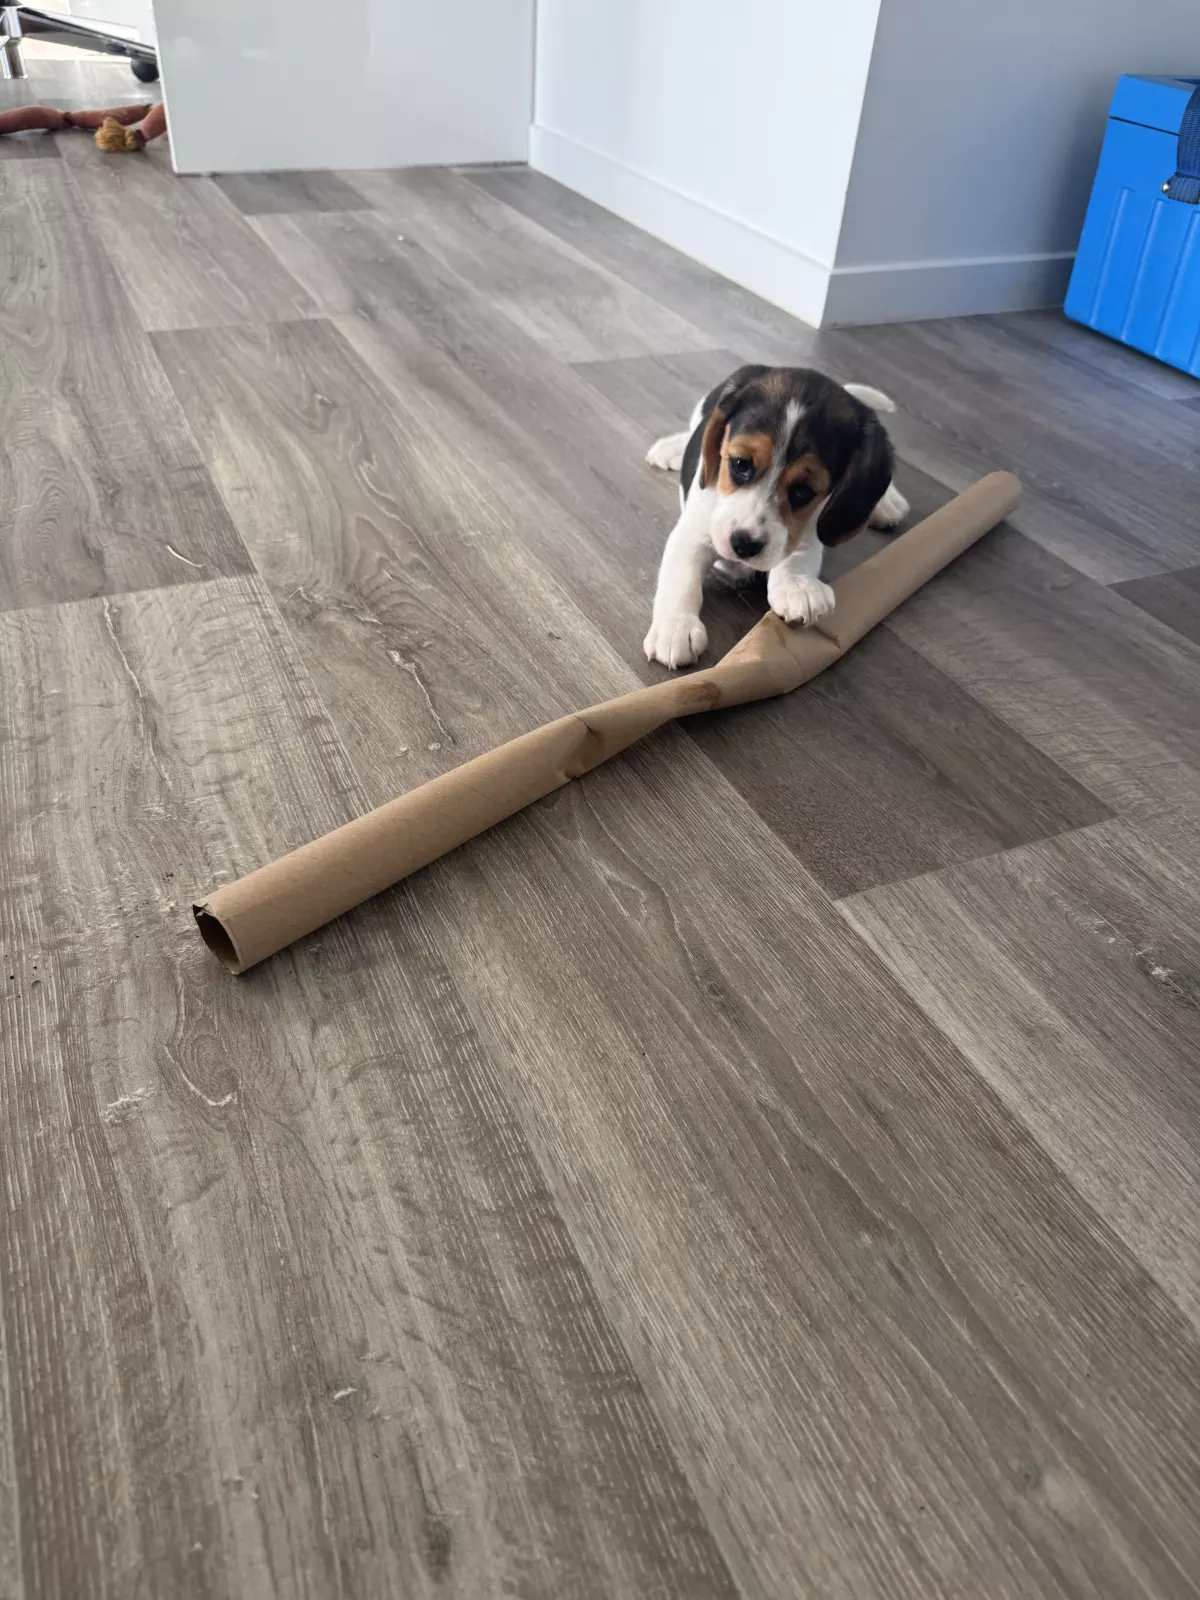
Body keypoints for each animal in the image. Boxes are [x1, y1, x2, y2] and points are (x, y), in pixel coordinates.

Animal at [643, 365, 909, 668]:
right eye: (740, 464)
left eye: (803, 492)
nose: (744, 544)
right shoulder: (695, 530)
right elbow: (681, 577)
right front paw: (675, 627)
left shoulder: (807, 530)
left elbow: (797, 550)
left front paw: (797, 585)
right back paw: (671, 448)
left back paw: (887, 502)